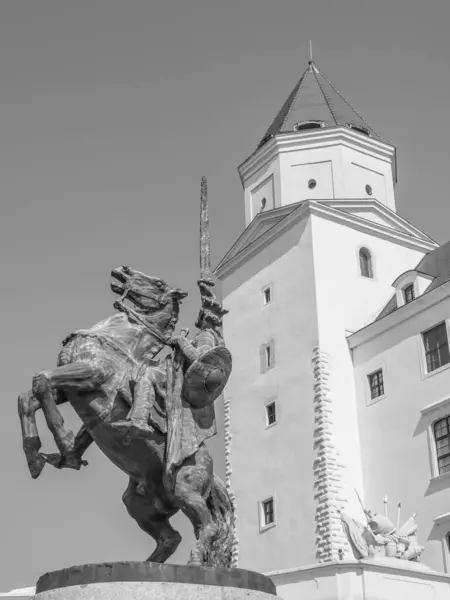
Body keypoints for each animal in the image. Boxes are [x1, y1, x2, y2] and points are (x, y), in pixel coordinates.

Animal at [16, 266, 236, 568]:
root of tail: (211, 471)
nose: (122, 271)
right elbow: (28, 397)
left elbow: (41, 381)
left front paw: (63, 438)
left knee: (208, 526)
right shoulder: (69, 390)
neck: (119, 339)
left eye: (158, 284)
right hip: (140, 503)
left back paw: (193, 561)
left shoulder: (91, 374)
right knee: (171, 538)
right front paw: (36, 457)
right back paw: (146, 565)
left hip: (184, 487)